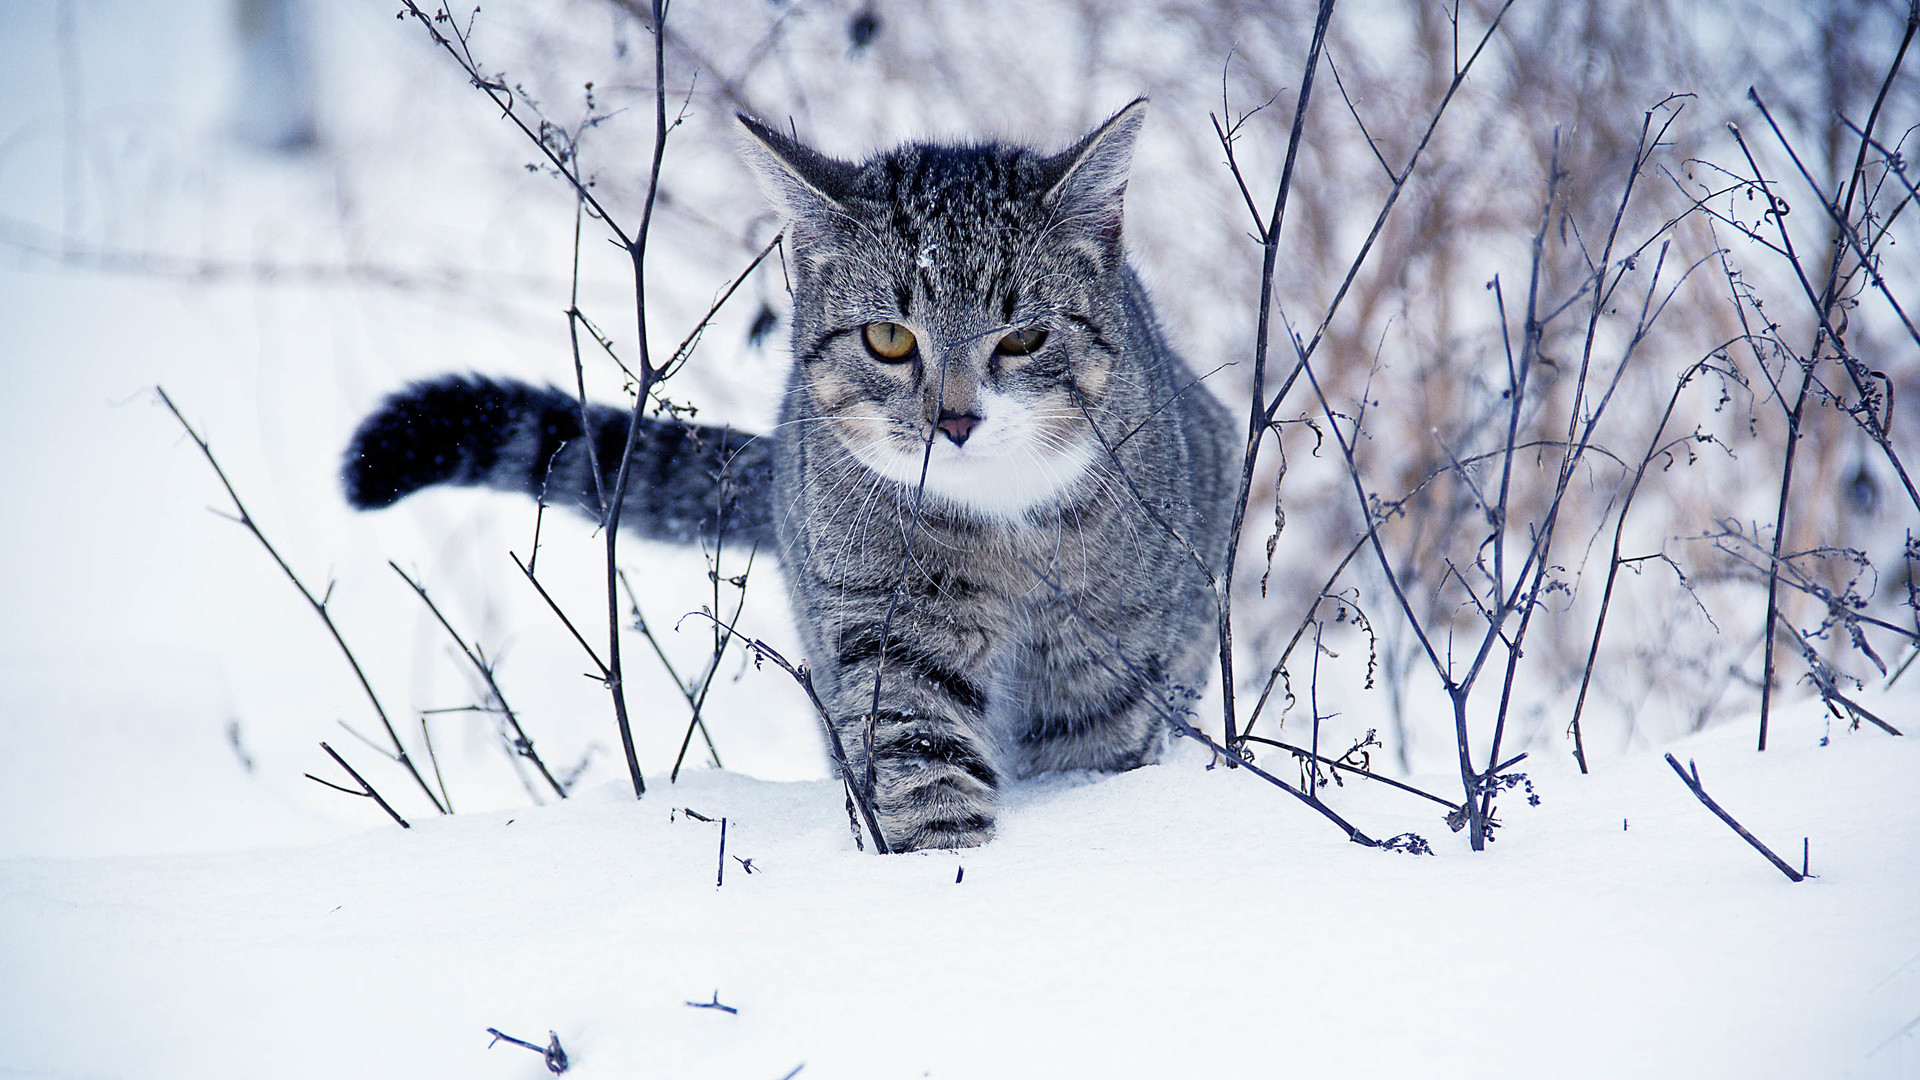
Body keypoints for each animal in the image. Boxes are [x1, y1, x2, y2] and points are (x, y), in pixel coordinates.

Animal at [343, 96, 1236, 845]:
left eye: (1023, 339)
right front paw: (943, 864)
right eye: (888, 338)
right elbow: (919, 753)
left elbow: (1092, 745)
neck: (1000, 527)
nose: (953, 421)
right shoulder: (884, 620)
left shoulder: (1109, 646)